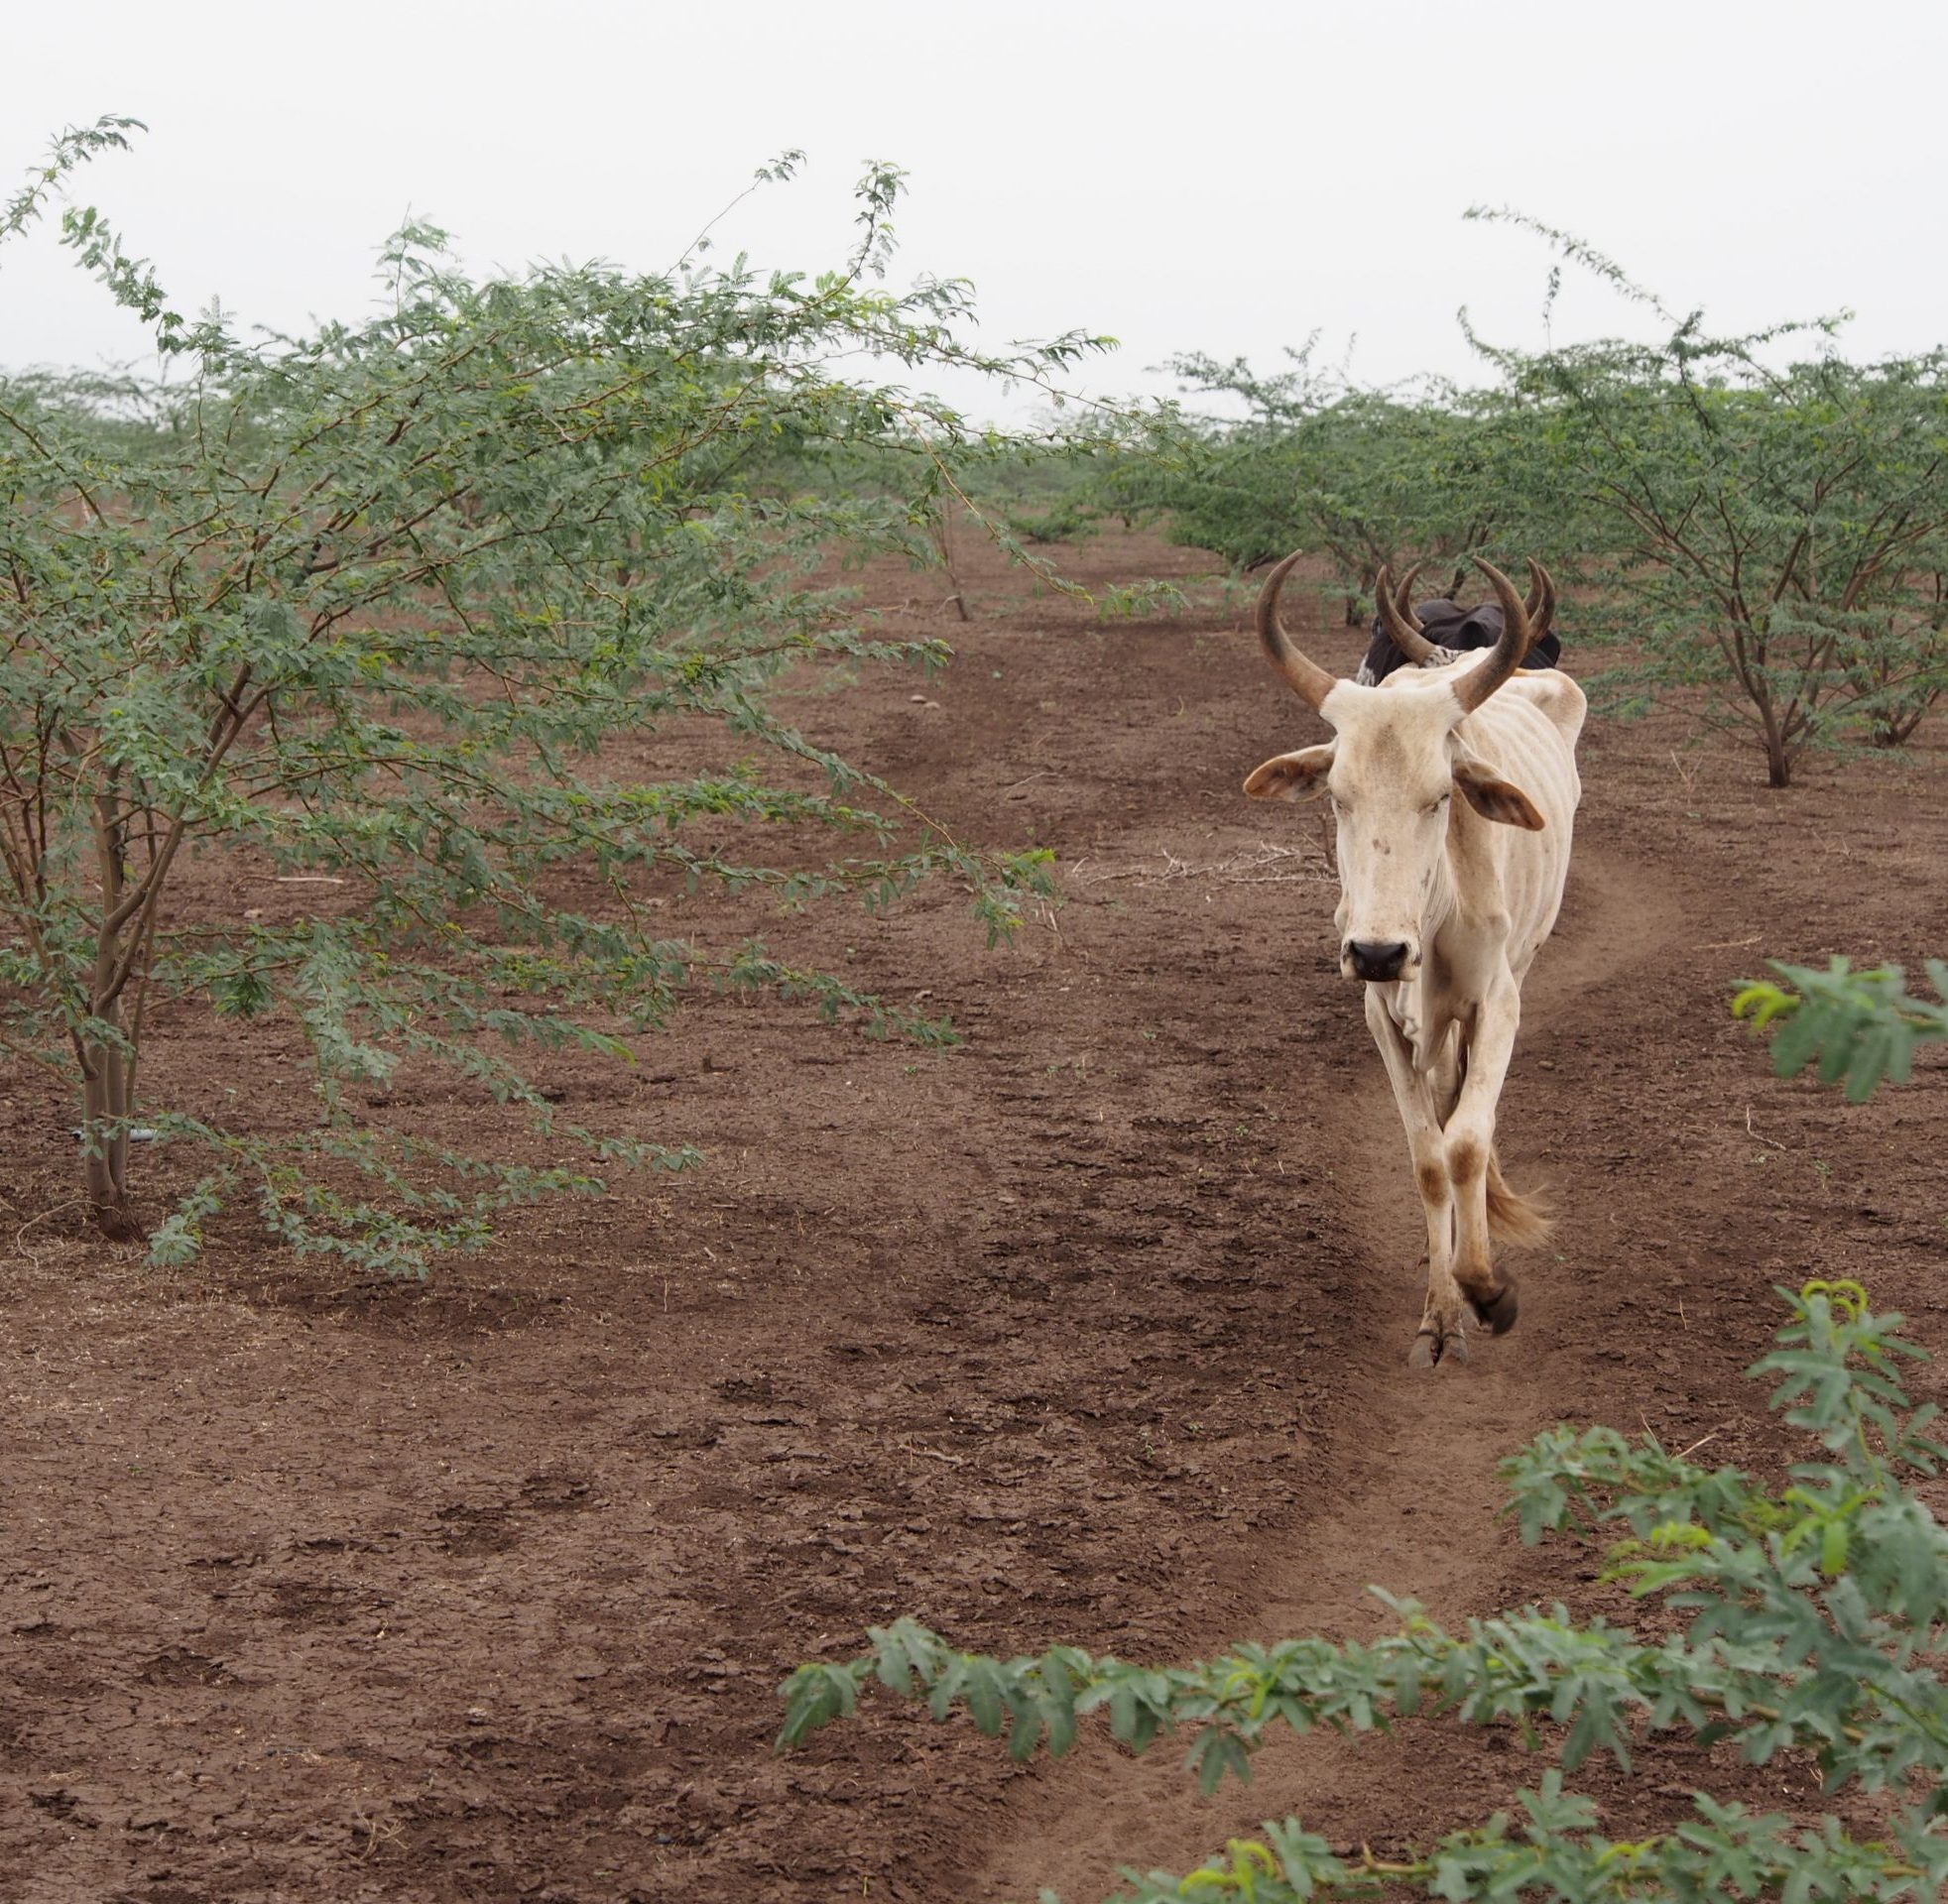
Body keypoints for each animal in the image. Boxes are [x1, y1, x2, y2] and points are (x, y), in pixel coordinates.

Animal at [1246, 548, 1581, 1363]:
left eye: (1441, 796)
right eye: (1338, 796)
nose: (1375, 950)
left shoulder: (1498, 1002)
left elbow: (1465, 1144)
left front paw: (1487, 1289)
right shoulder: (1380, 1014)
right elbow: (1429, 1158)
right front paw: (1441, 1313)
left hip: (1519, 965)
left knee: (1468, 1109)